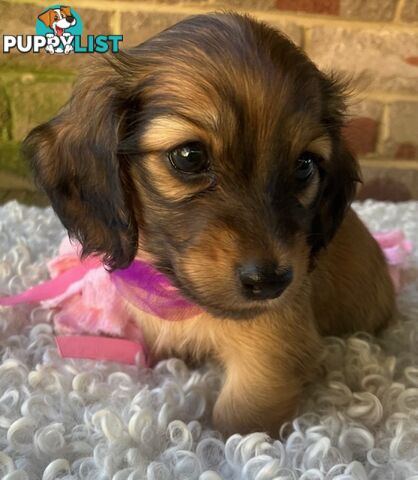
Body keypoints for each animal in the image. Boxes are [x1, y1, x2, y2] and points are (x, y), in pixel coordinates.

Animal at [22, 13, 396, 436]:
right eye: (189, 156)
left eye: (304, 166)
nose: (271, 283)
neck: (179, 296)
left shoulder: (270, 354)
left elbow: (237, 422)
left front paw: (223, 444)